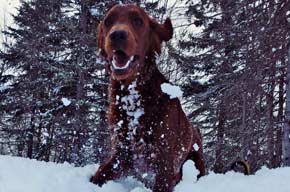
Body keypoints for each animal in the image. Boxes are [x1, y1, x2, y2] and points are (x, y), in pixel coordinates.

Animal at [90, 3, 206, 191]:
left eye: (138, 21)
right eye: (107, 21)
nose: (117, 35)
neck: (133, 100)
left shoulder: (164, 162)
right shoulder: (121, 153)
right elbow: (98, 176)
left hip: (196, 159)